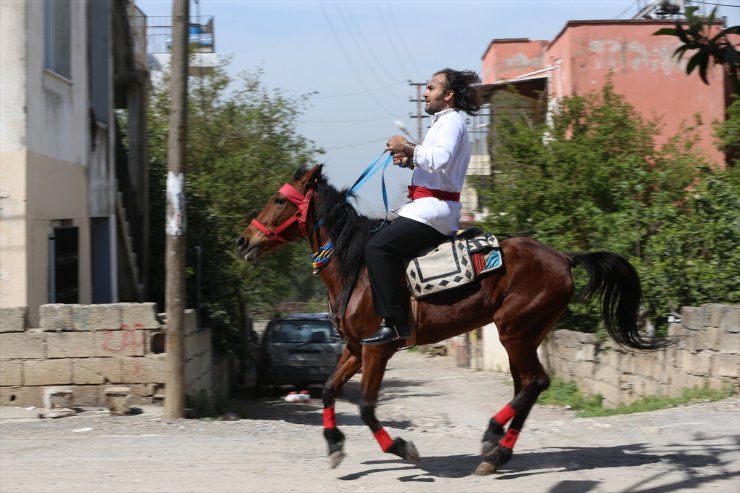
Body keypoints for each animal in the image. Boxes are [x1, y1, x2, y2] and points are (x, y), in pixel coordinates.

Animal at [238, 163, 672, 474]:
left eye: (279, 200)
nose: (244, 241)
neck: (356, 267)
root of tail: (563, 258)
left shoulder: (378, 350)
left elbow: (366, 406)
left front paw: (403, 448)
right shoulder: (355, 349)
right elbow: (329, 390)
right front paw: (333, 446)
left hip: (514, 330)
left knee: (535, 382)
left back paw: (492, 437)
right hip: (525, 334)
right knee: (528, 386)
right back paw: (497, 456)